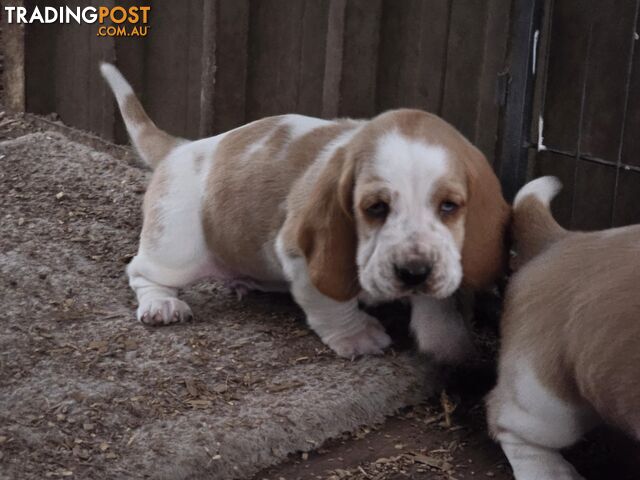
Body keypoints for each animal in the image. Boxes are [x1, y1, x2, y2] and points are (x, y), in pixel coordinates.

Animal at [100, 62, 510, 360]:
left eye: (449, 206)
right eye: (375, 208)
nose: (414, 272)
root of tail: (179, 148)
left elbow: (439, 308)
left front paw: (451, 344)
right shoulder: (301, 252)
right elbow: (331, 301)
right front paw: (358, 336)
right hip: (177, 248)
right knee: (143, 272)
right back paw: (162, 304)